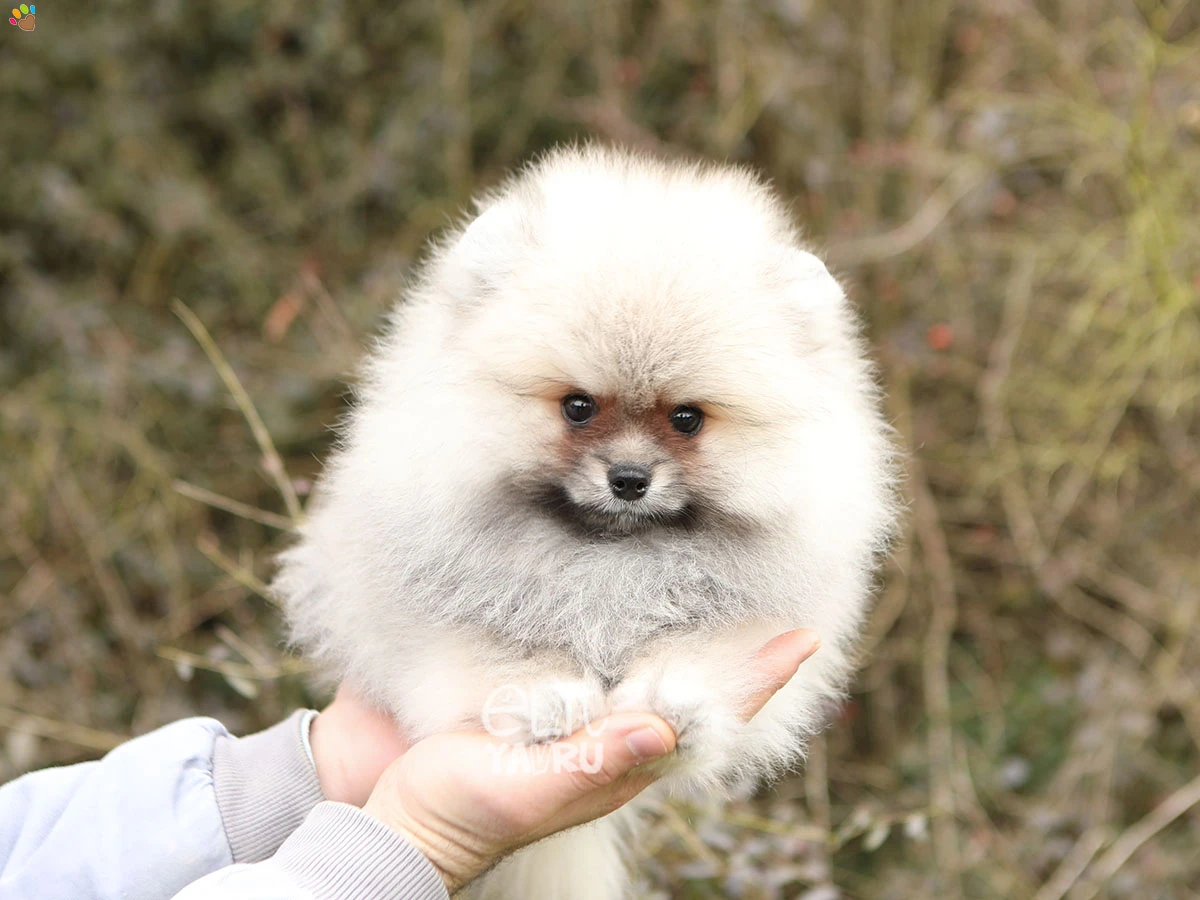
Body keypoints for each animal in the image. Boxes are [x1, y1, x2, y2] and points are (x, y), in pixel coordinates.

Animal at [276, 144, 902, 897]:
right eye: (577, 406)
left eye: (686, 419)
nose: (629, 479)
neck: (607, 560)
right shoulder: (436, 617)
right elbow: (498, 654)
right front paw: (545, 697)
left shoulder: (755, 619)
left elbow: (706, 651)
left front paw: (675, 698)